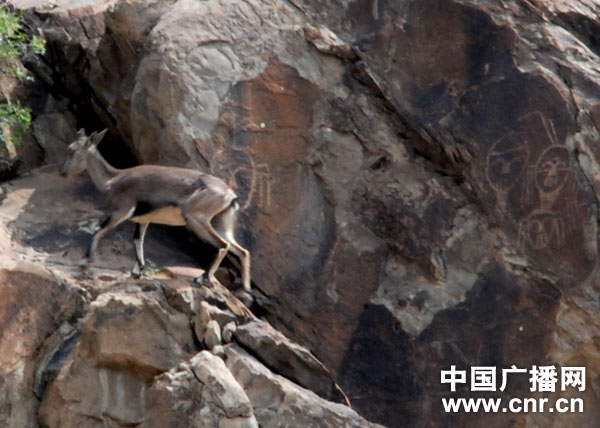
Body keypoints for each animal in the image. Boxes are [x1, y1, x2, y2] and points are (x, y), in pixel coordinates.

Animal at [59, 130, 251, 290]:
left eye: (71, 150)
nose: (62, 173)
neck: (113, 179)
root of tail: (230, 195)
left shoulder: (122, 211)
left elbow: (99, 230)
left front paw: (84, 261)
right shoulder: (143, 220)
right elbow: (137, 240)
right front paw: (137, 271)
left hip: (197, 219)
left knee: (222, 245)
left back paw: (201, 279)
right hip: (221, 223)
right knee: (242, 251)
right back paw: (246, 288)